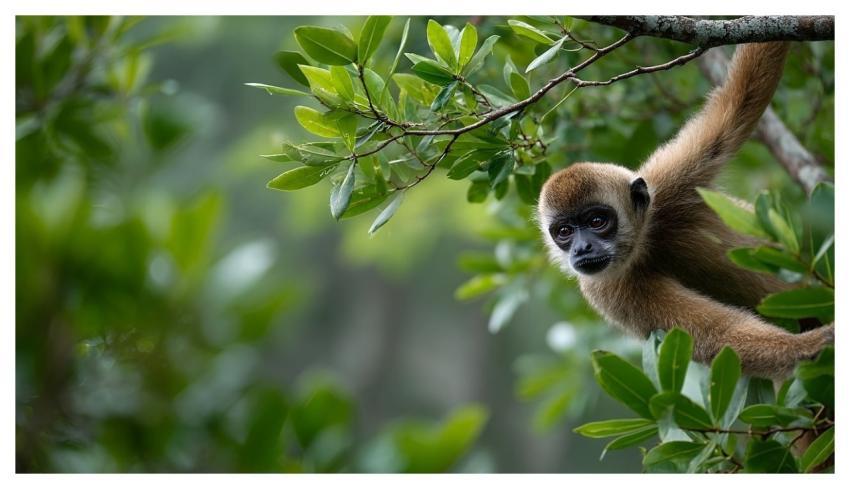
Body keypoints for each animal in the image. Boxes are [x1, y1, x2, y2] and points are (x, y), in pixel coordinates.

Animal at [536, 42, 833, 380]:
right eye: (564, 232)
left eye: (597, 221)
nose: (582, 248)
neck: (645, 243)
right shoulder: (608, 290)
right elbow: (719, 335)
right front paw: (814, 344)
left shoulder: (670, 179)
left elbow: (739, 102)